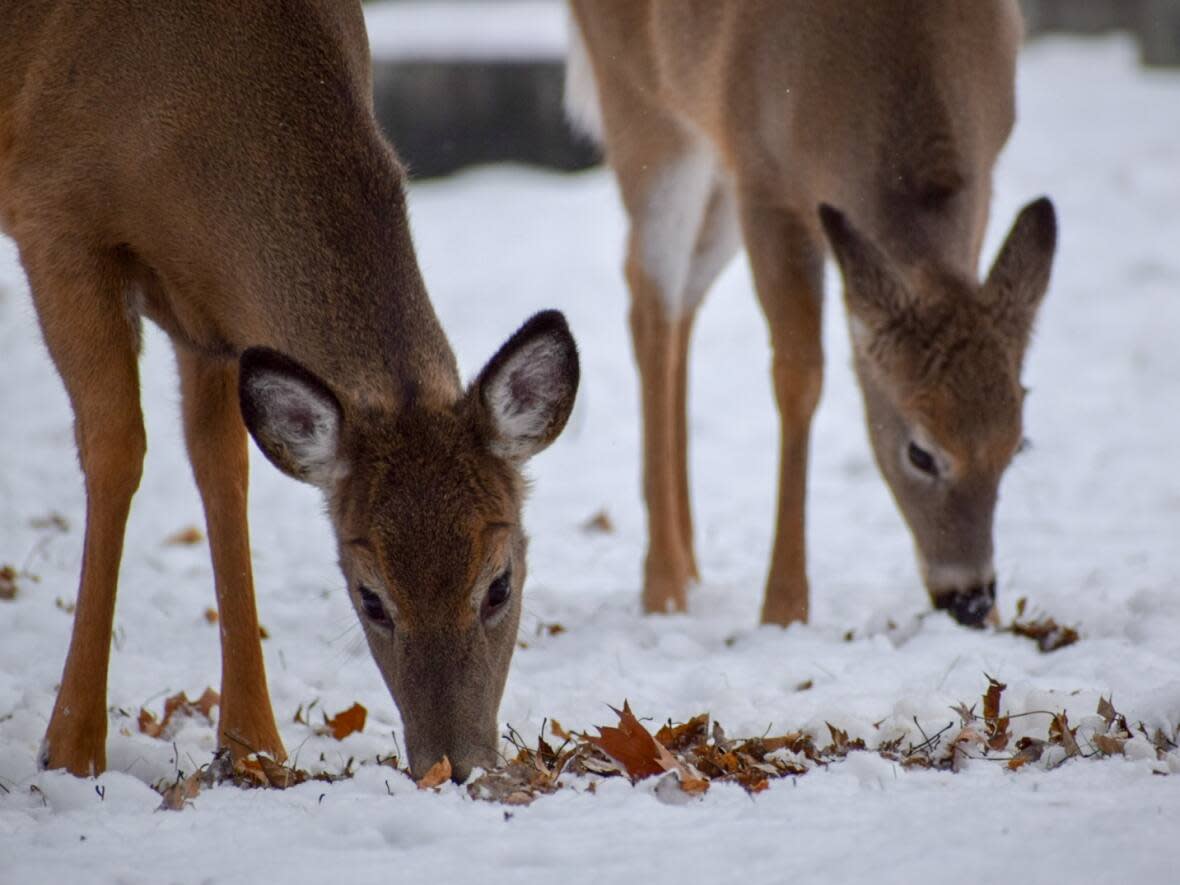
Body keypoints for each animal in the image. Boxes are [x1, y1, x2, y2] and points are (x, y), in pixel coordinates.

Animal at [1, 1, 580, 788]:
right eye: (370, 597)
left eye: (500, 583)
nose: (453, 768)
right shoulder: (52, 213)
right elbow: (116, 446)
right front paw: (69, 749)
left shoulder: (211, 319)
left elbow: (223, 468)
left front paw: (252, 747)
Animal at [566, 0, 1057, 627]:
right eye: (920, 453)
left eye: (1017, 445)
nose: (969, 599)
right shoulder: (763, 176)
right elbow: (799, 377)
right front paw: (784, 608)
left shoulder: (985, 172)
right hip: (644, 108)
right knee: (650, 301)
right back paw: (665, 586)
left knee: (679, 301)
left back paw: (690, 564)